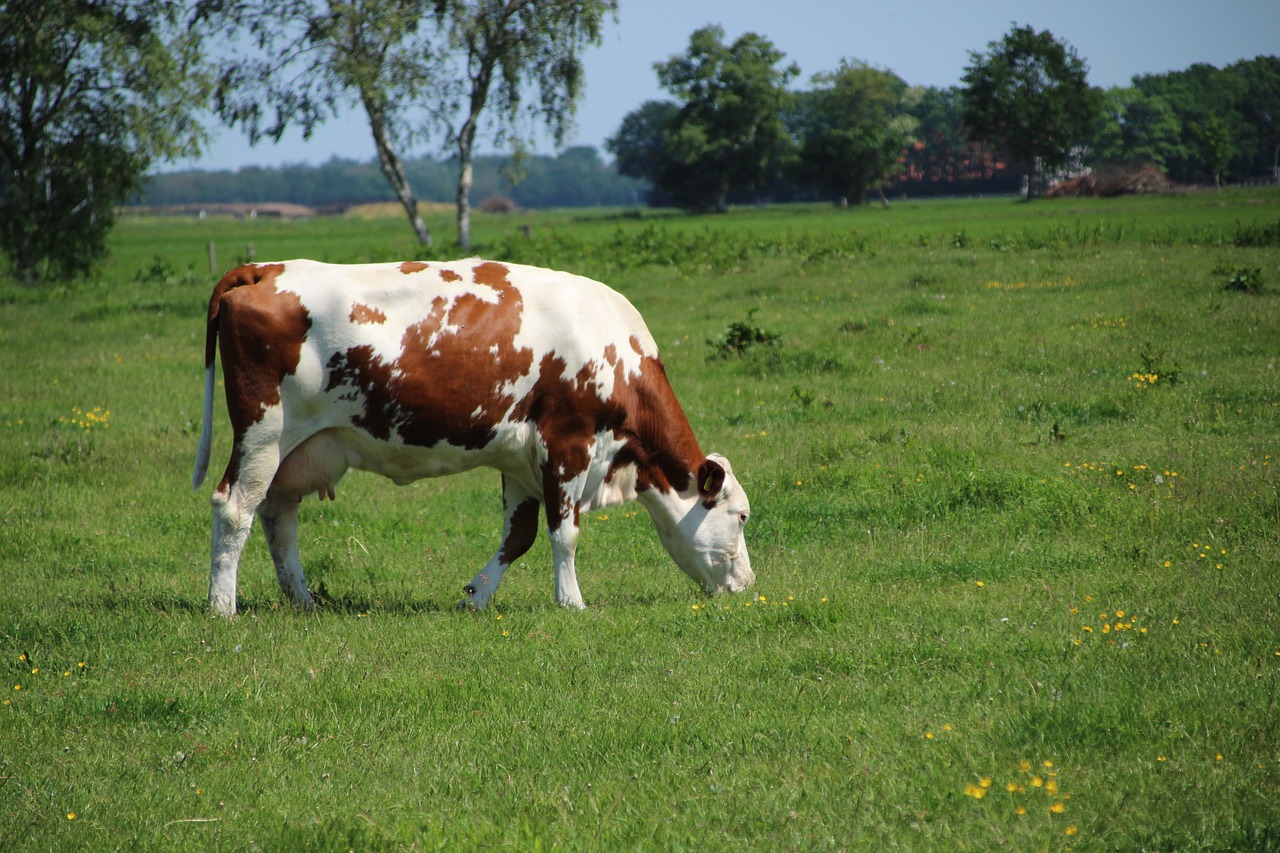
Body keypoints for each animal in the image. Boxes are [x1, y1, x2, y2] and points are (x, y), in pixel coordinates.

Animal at [189, 256, 747, 614]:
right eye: (741, 516)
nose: (748, 582)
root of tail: (262, 269)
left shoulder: (522, 459)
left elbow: (518, 536)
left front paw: (478, 596)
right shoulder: (568, 442)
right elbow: (564, 534)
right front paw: (572, 602)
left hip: (296, 450)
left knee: (278, 516)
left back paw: (302, 600)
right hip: (265, 433)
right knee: (234, 509)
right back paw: (222, 607)